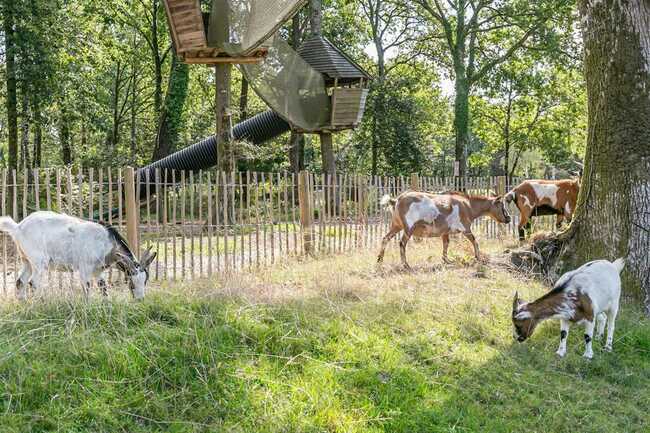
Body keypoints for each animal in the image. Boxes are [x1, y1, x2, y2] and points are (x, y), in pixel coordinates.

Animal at [0, 210, 156, 298]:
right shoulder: (85, 267)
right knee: (34, 282)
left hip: (26, 260)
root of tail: (18, 227)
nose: (140, 299)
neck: (107, 242)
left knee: (20, 282)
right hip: (39, 261)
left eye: (145, 281)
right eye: (131, 283)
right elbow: (87, 288)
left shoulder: (98, 270)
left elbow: (103, 288)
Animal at [378, 191, 508, 268]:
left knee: (385, 239)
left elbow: (446, 244)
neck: (468, 206)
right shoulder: (465, 228)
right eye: (501, 206)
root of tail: (397, 200)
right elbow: (474, 241)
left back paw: (379, 260)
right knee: (402, 243)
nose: (509, 218)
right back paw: (405, 265)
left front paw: (447, 260)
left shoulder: (445, 232)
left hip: (396, 225)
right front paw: (478, 257)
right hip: (408, 227)